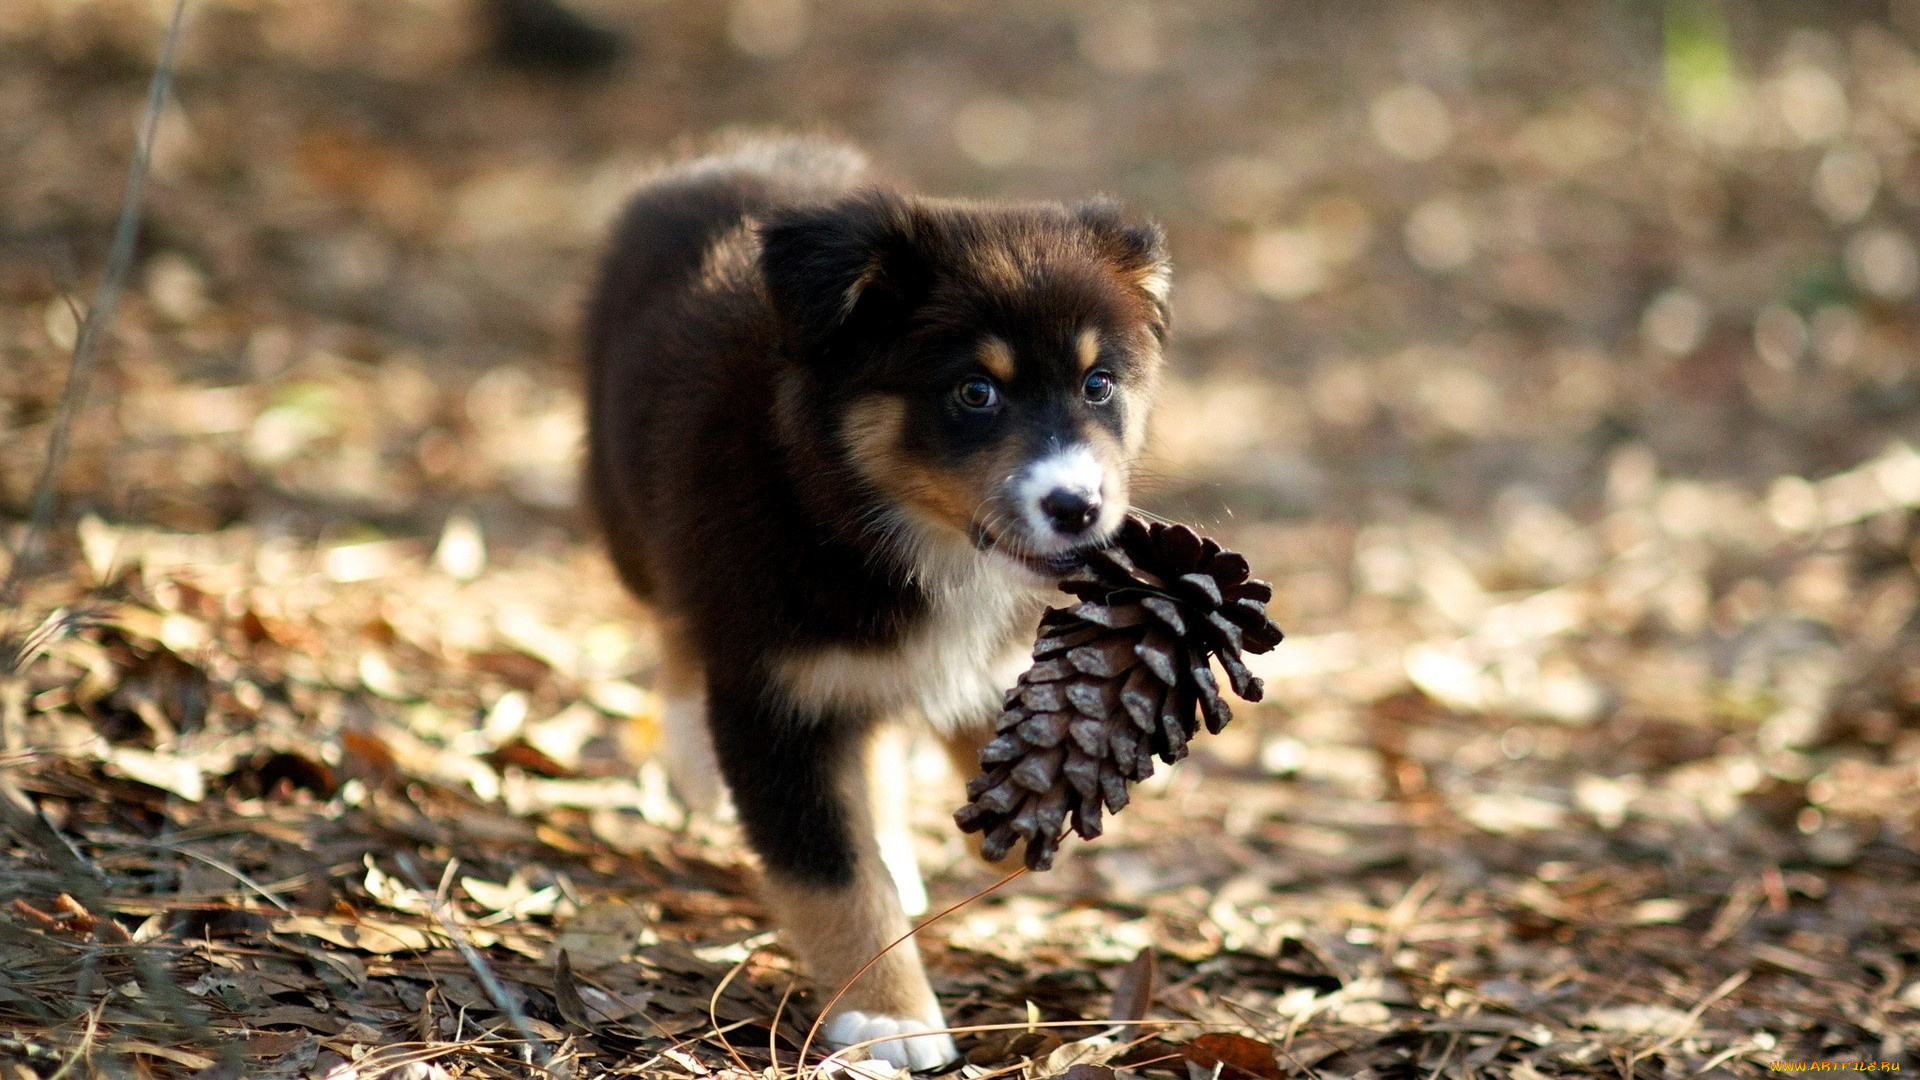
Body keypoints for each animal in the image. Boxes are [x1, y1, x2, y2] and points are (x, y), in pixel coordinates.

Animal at [576, 136, 1159, 1068]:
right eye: (974, 391)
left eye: (1098, 384)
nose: (1078, 506)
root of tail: (722, 155)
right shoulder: (776, 692)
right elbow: (831, 874)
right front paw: (886, 1015)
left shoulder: (986, 659)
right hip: (630, 509)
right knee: (671, 619)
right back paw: (695, 758)